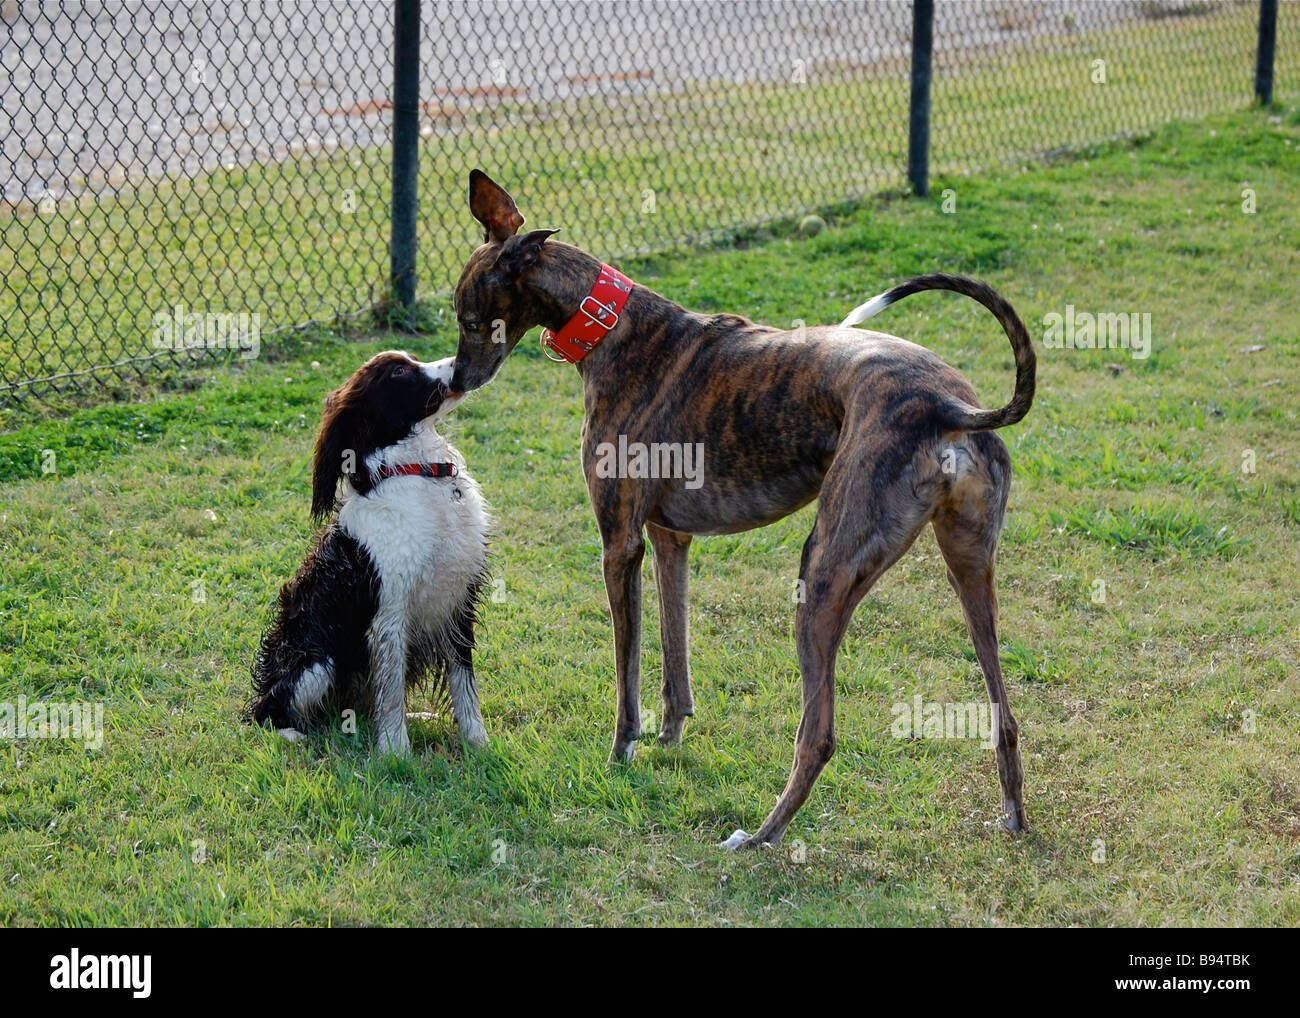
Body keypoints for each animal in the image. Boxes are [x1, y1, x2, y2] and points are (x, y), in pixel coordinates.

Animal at [250, 351, 488, 754]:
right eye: (399, 371)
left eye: (413, 359)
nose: (460, 362)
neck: (418, 471)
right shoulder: (389, 615)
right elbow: (389, 694)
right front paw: (396, 753)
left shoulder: (457, 602)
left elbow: (464, 684)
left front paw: (478, 743)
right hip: (315, 662)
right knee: (269, 708)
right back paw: (292, 733)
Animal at [449, 171, 1034, 847]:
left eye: (471, 320)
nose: (455, 382)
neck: (614, 325)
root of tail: (950, 407)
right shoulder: (669, 539)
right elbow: (675, 660)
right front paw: (671, 739)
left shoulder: (620, 543)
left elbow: (628, 674)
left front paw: (622, 752)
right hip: (969, 566)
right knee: (1004, 712)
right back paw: (1013, 815)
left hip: (824, 572)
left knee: (820, 734)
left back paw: (758, 837)